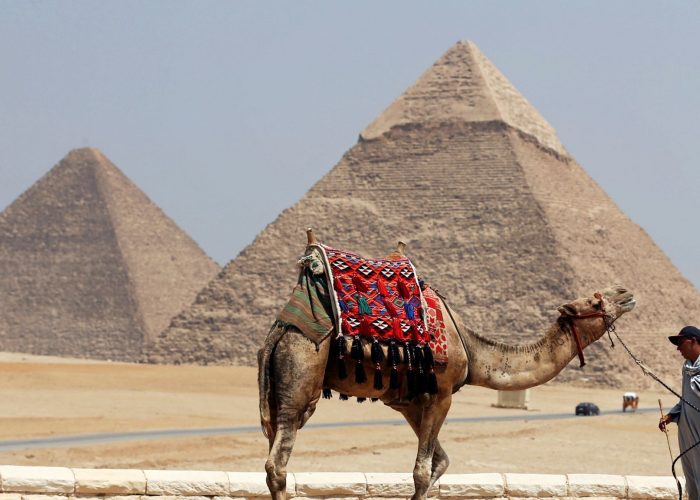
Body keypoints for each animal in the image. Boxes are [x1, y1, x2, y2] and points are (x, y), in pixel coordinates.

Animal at [258, 231, 637, 500]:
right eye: (595, 300)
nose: (625, 292)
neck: (472, 351)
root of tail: (278, 330)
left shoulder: (409, 402)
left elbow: (438, 463)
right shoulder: (441, 394)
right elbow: (422, 471)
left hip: (277, 389)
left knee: (274, 454)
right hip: (302, 369)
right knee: (278, 463)